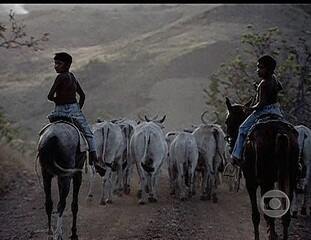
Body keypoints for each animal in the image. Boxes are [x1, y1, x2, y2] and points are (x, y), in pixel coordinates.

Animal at [225, 96, 302, 239]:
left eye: (227, 121)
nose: (231, 143)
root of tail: (280, 133)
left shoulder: (252, 182)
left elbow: (256, 215)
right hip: (290, 179)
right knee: (285, 214)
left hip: (266, 180)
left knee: (269, 212)